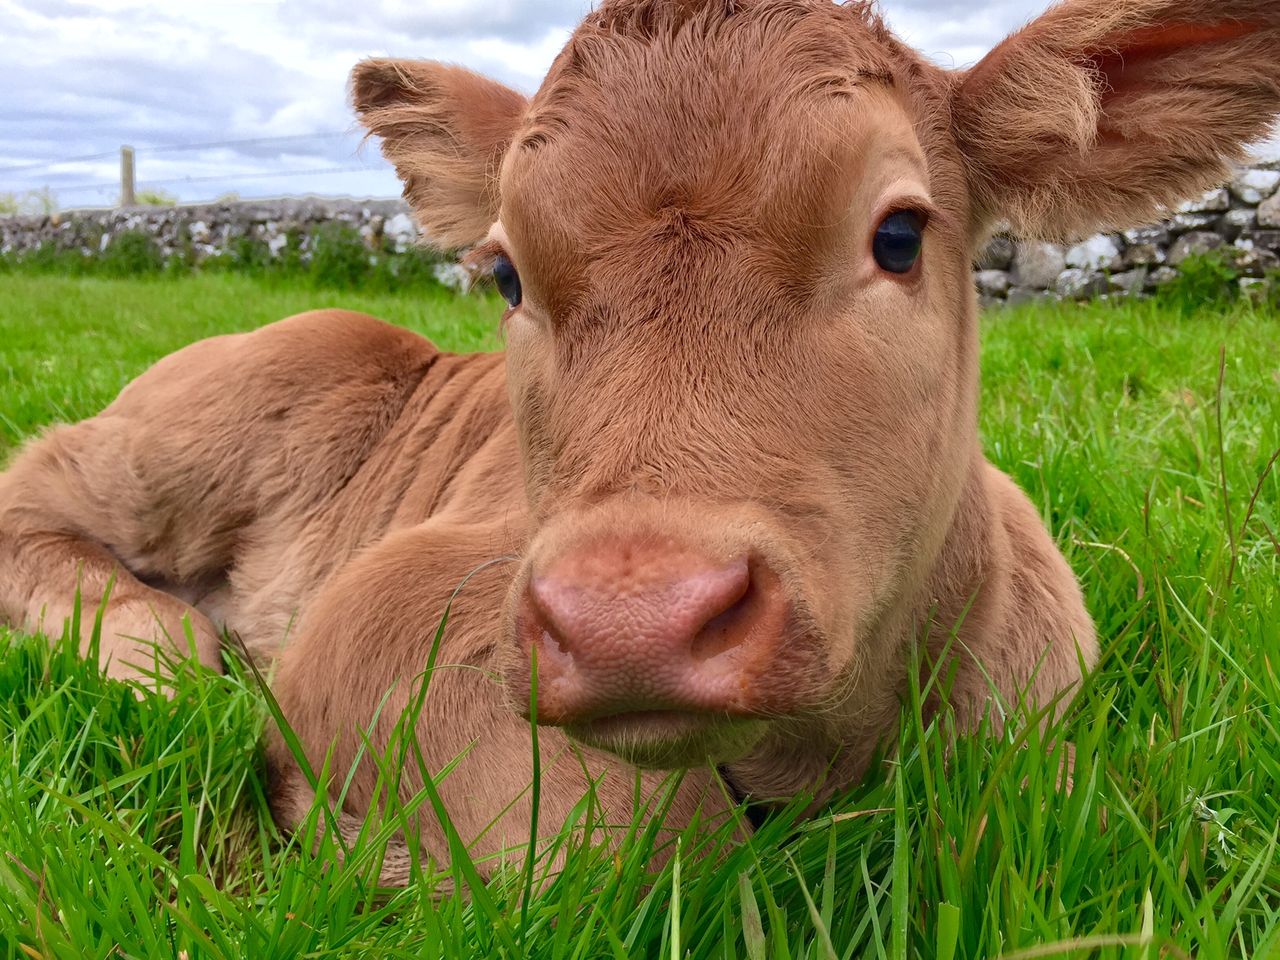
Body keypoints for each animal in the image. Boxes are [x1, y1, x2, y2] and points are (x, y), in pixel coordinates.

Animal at [2, 0, 1278, 882]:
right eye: (506, 271)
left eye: (899, 234)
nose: (631, 624)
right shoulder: (377, 614)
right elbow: (635, 838)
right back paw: (150, 645)